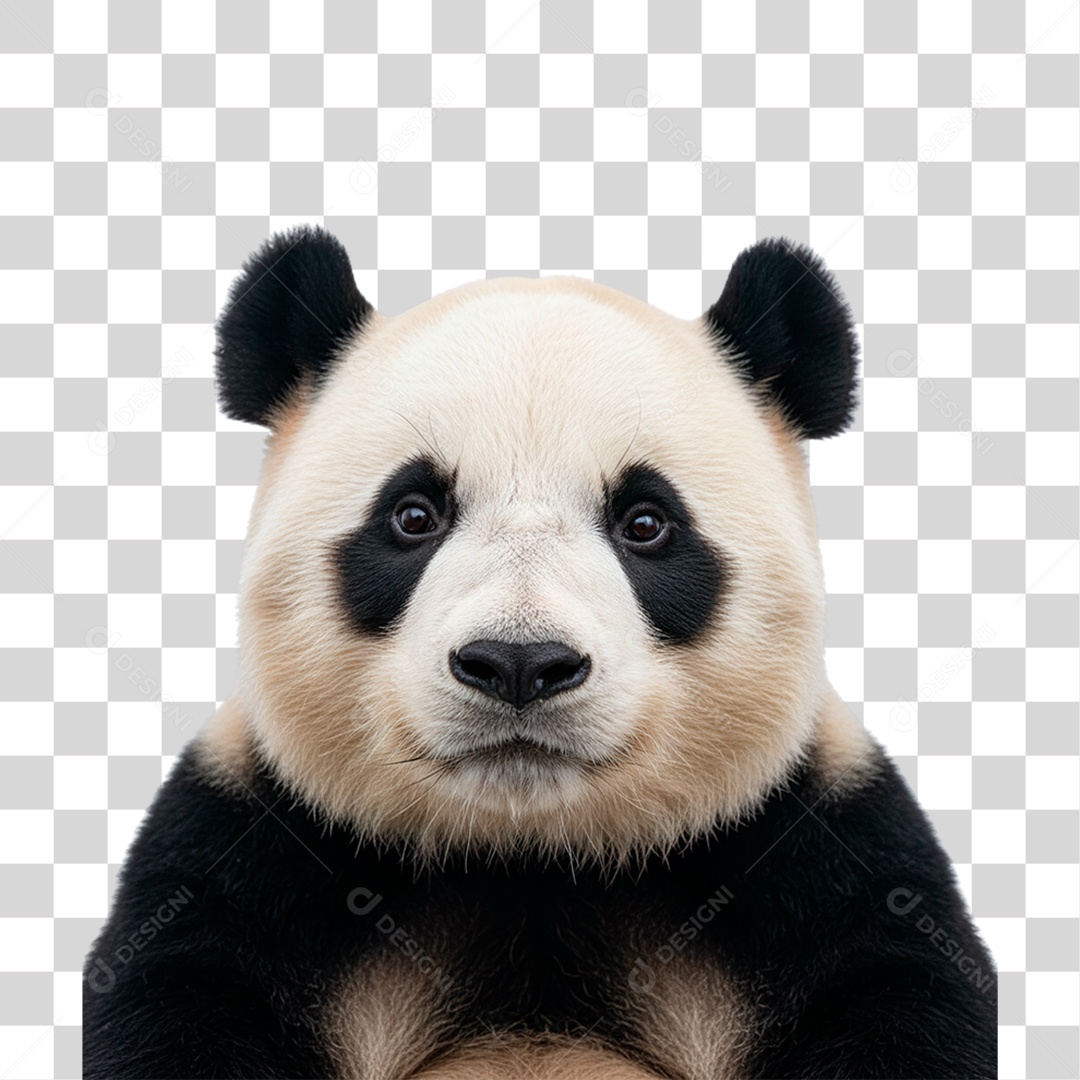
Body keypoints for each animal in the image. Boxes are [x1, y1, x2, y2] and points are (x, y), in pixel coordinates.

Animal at [83, 225, 997, 1079]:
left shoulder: (814, 858)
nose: (519, 664)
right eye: (413, 514)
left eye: (646, 522)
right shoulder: (254, 855)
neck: (532, 858)